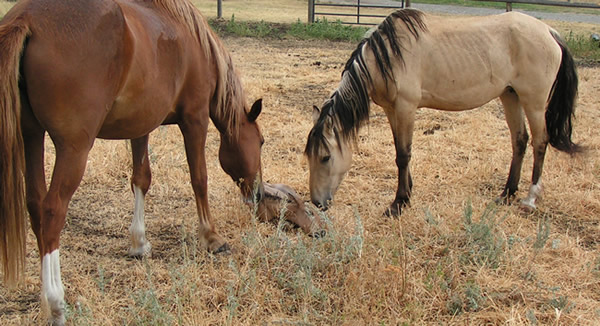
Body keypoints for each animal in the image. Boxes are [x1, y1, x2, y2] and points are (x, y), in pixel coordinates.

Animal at [0, 0, 266, 324]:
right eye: (261, 142)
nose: (258, 194)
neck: (193, 43)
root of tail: (28, 18)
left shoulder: (141, 124)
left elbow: (141, 179)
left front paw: (139, 243)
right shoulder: (195, 119)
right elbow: (199, 178)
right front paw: (211, 237)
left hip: (32, 136)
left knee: (36, 206)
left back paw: (42, 298)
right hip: (73, 149)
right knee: (52, 212)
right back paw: (56, 302)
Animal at [308, 8, 580, 215]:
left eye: (325, 157)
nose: (316, 203)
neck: (386, 57)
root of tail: (549, 31)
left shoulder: (406, 107)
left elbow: (403, 155)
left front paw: (399, 203)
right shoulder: (391, 110)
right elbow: (400, 152)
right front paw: (407, 192)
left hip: (533, 101)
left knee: (540, 142)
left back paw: (530, 198)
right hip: (510, 95)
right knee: (520, 140)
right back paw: (506, 194)